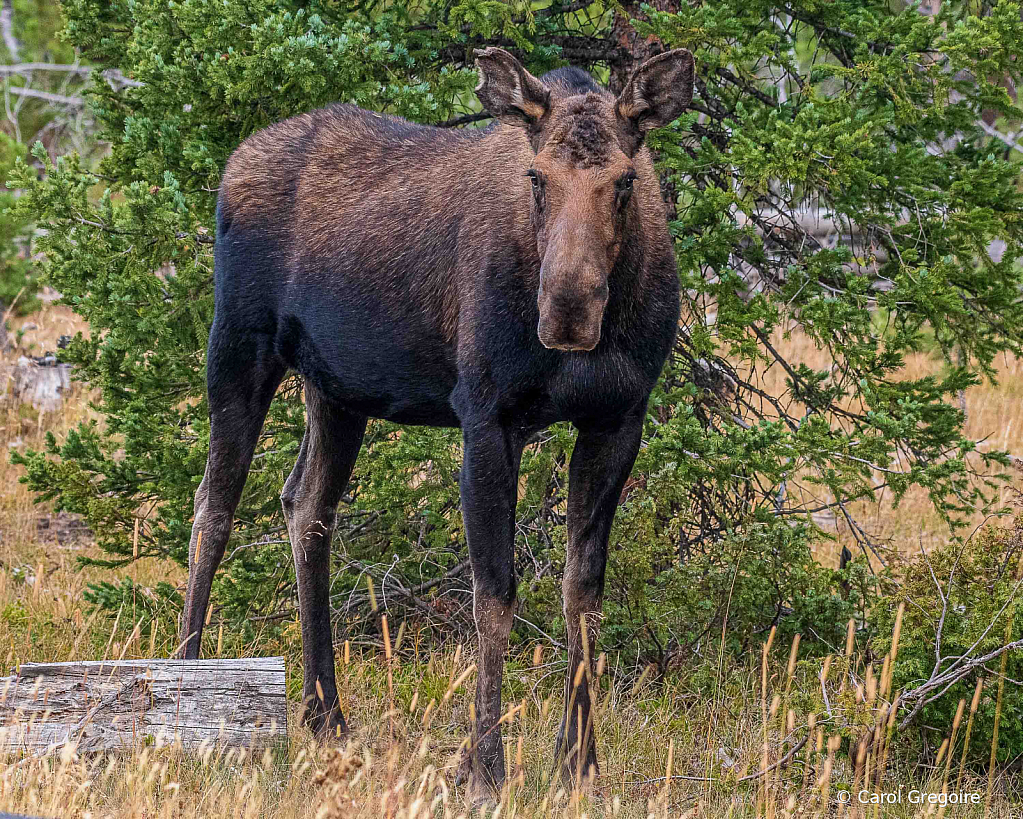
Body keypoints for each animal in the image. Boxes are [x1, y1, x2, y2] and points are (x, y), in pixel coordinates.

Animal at [182, 44, 695, 797]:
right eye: (536, 178)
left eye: (625, 181)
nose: (567, 311)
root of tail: (233, 162)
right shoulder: (485, 416)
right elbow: (494, 594)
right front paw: (485, 764)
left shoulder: (618, 419)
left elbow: (582, 592)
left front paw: (578, 762)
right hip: (238, 347)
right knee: (212, 507)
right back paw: (189, 683)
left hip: (336, 389)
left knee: (305, 506)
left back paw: (324, 711)